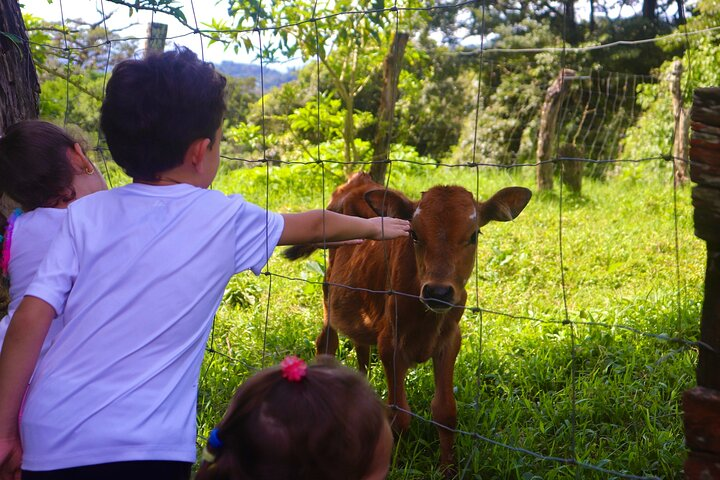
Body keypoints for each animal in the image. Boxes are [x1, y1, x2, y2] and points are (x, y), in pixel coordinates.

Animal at [286, 172, 528, 468]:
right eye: (414, 233)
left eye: (473, 235)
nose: (438, 292)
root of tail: (357, 179)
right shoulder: (390, 343)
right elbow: (399, 414)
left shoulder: (450, 339)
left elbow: (446, 412)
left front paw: (448, 468)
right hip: (329, 293)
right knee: (327, 342)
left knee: (360, 348)